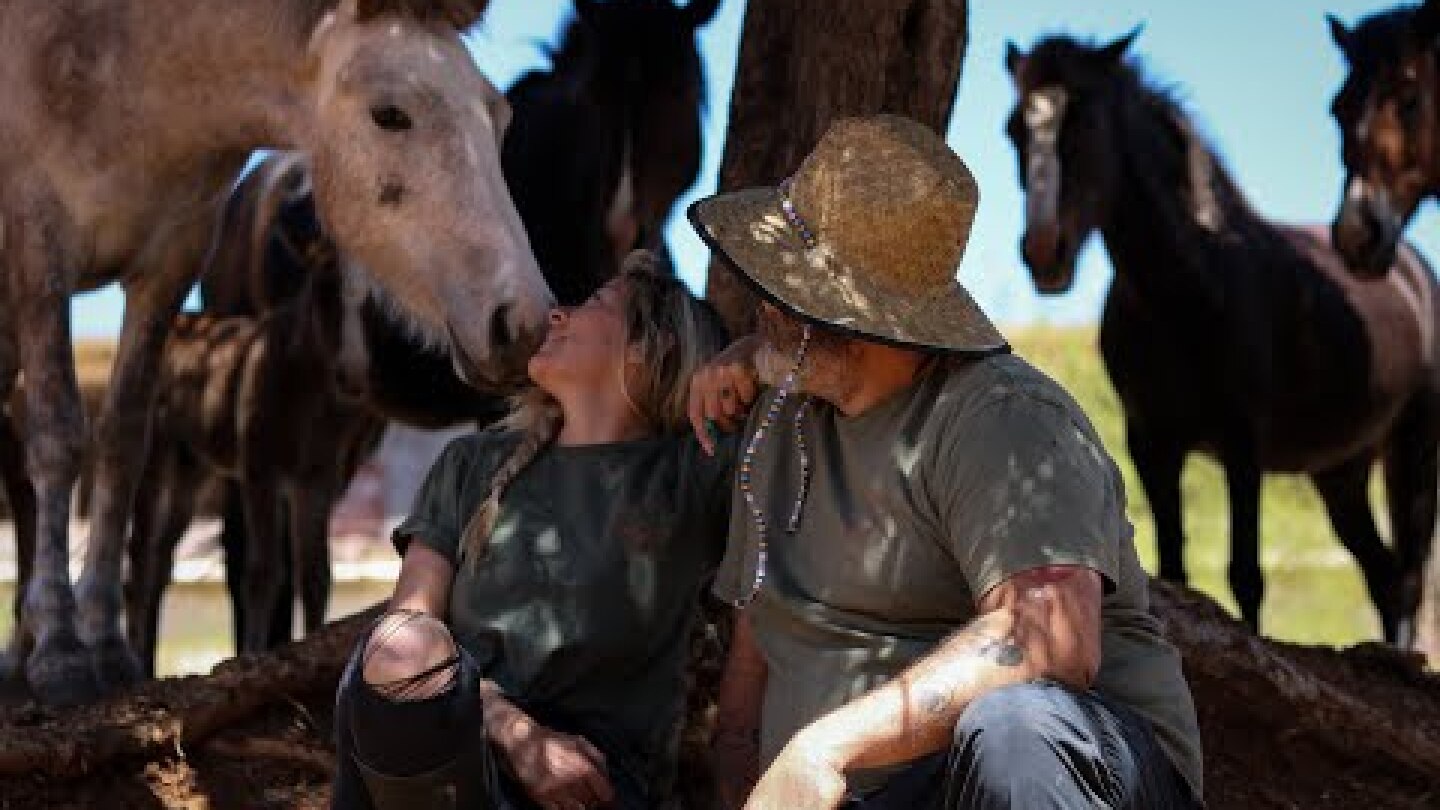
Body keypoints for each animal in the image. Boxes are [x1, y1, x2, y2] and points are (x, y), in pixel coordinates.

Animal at [0, 0, 552, 700]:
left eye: (498, 115)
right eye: (390, 114)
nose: (525, 323)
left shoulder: (167, 267)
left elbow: (121, 443)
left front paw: (103, 647)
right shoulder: (37, 246)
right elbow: (59, 437)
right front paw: (62, 654)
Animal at [1002, 31, 1440, 639]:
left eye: (1085, 124)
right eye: (1014, 131)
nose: (1044, 251)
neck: (1192, 291)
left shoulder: (1243, 443)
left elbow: (1245, 575)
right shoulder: (1151, 444)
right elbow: (1175, 568)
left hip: (1412, 447)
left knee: (1411, 577)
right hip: (1342, 474)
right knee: (1385, 577)